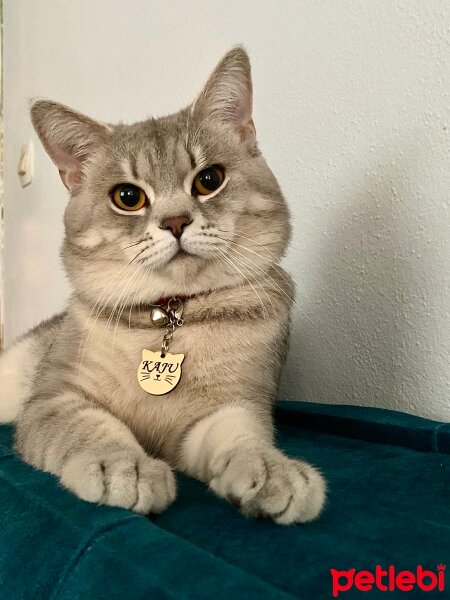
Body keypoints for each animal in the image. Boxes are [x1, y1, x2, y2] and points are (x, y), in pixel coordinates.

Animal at [0, 48, 326, 524]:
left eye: (209, 180)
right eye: (127, 197)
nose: (175, 222)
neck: (169, 315)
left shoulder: (227, 408)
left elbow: (240, 436)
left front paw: (271, 470)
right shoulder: (54, 399)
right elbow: (92, 429)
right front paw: (124, 466)